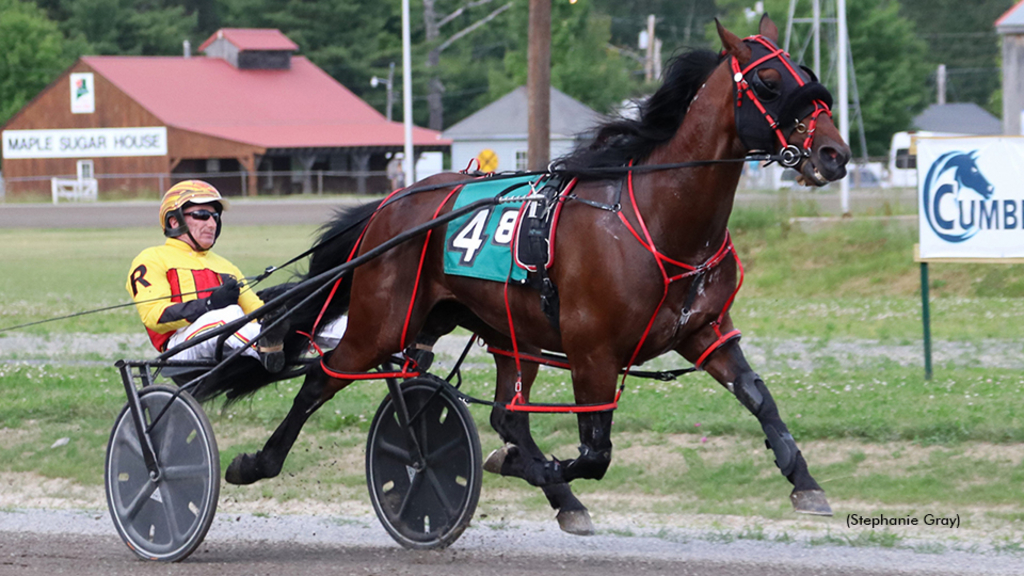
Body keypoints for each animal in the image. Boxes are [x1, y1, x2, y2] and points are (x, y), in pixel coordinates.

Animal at [197, 14, 847, 532]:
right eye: (768, 82)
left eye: (806, 72)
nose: (834, 154)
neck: (662, 217)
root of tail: (393, 204)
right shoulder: (592, 351)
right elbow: (595, 452)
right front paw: (533, 468)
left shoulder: (705, 332)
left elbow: (760, 399)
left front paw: (807, 483)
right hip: (383, 323)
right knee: (319, 379)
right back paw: (255, 463)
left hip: (507, 330)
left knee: (506, 413)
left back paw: (555, 493)